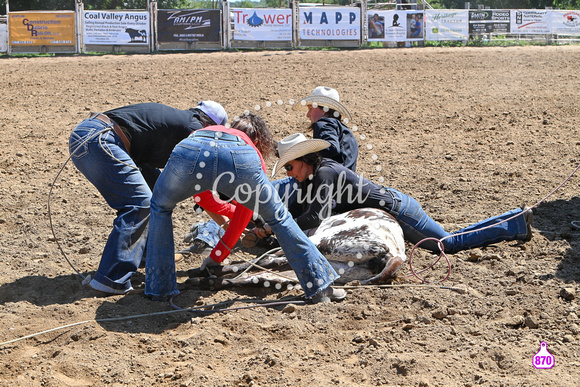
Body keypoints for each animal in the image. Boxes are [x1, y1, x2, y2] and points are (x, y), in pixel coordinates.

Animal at [187, 208, 408, 292]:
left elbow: (264, 260)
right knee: (260, 277)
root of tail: (395, 252)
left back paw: (202, 277)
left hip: (327, 243)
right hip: (336, 267)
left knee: (259, 273)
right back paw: (204, 280)